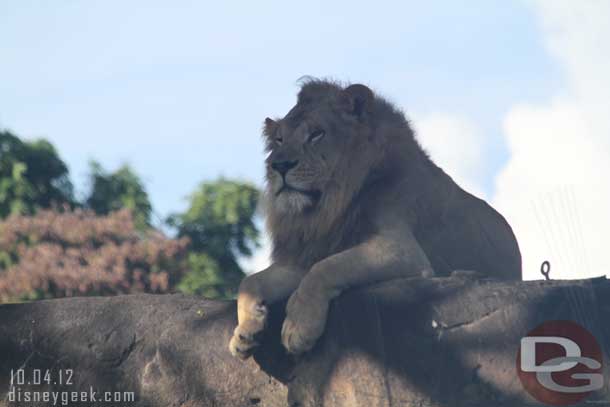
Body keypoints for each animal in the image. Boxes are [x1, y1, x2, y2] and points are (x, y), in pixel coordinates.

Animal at [228, 78, 516, 358]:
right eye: (279, 140)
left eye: (316, 134)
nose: (279, 165)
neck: (328, 209)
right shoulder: (305, 256)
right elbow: (249, 282)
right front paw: (245, 333)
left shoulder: (402, 249)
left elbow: (325, 268)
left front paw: (299, 328)